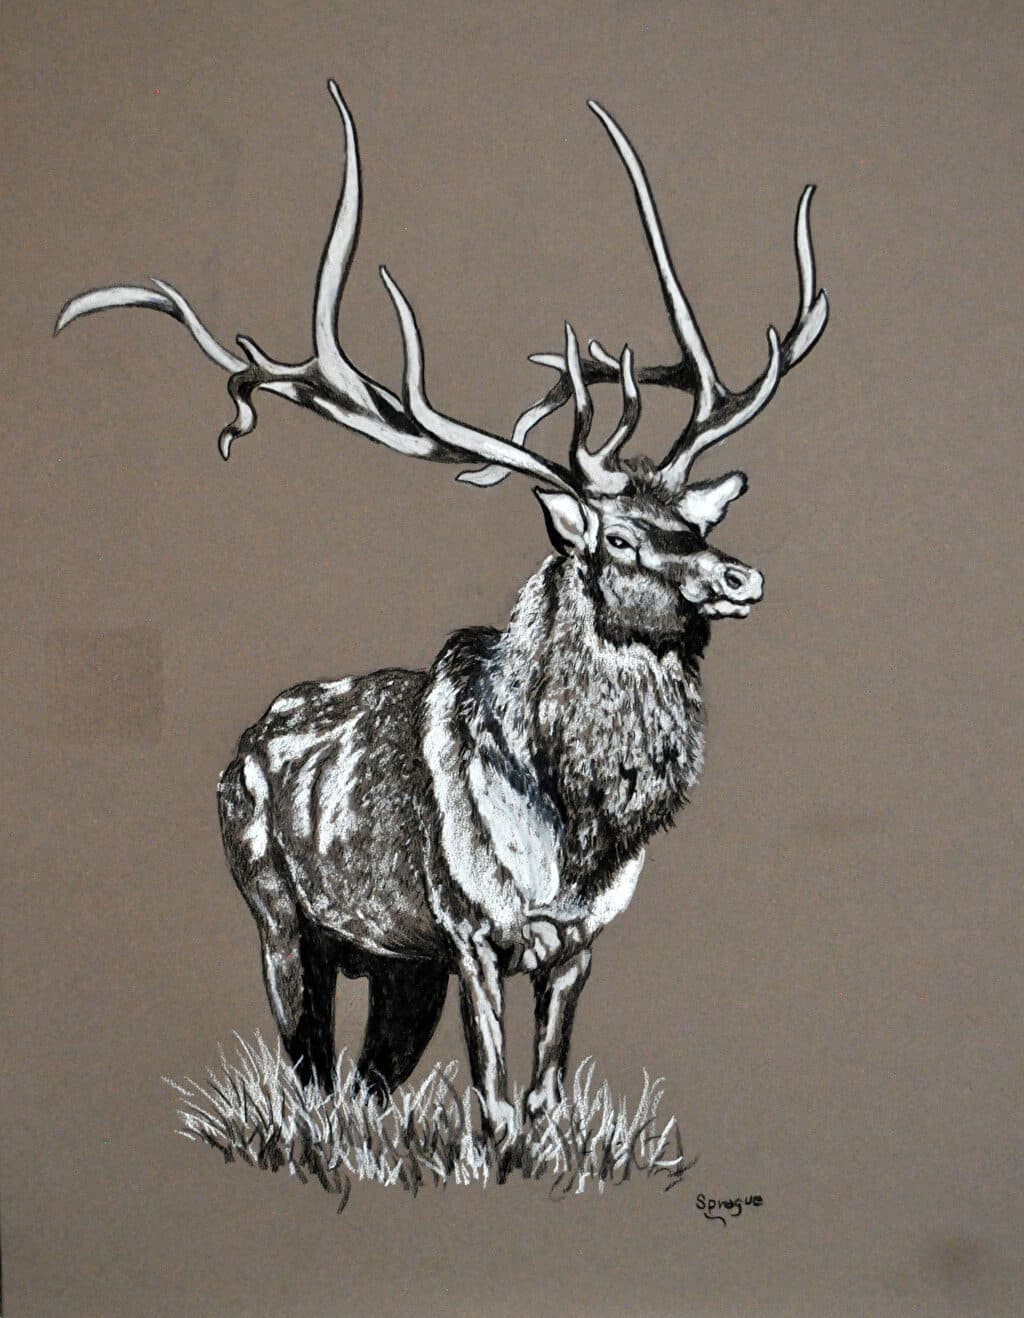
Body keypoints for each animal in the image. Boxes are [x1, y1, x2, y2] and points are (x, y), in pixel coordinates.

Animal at [56, 81, 828, 1152]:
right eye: (618, 539)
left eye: (693, 521)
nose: (742, 576)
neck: (572, 838)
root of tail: (238, 743)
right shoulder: (467, 927)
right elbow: (494, 1102)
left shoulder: (578, 940)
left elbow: (544, 1099)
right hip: (276, 910)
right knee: (307, 1067)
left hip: (394, 963)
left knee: (368, 1080)